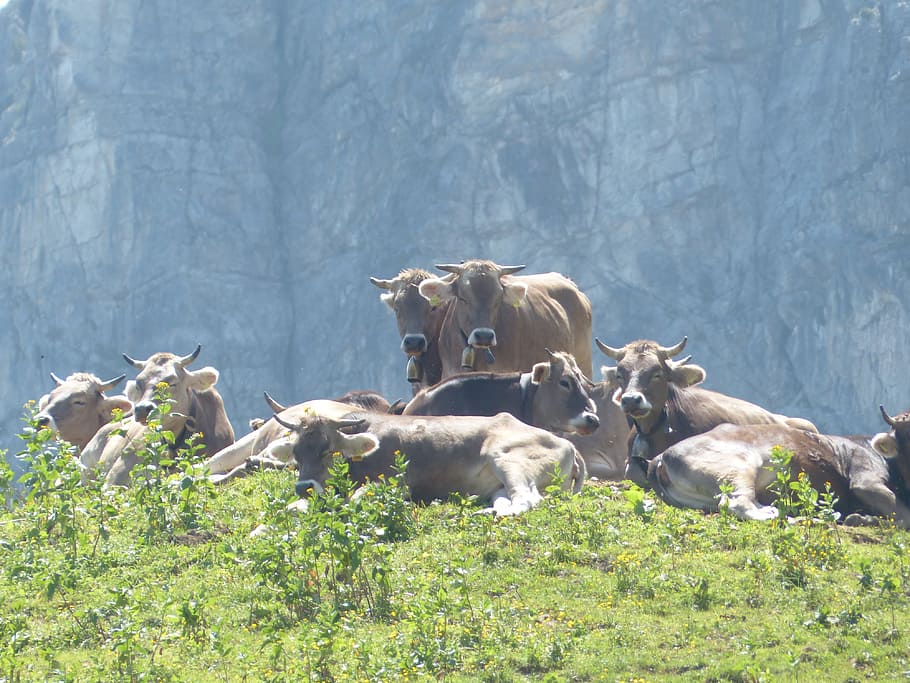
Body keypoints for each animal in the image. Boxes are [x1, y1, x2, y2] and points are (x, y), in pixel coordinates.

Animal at [274, 401, 586, 516]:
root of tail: (567, 443)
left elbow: (357, 498)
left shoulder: (395, 484)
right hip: (498, 485)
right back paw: (487, 510)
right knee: (506, 498)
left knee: (527, 498)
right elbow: (287, 509)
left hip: (508, 459)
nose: (304, 486)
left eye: (328, 450)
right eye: (296, 454)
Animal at [646, 407, 910, 527]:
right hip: (737, 465)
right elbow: (902, 514)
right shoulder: (866, 479)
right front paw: (863, 518)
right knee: (736, 504)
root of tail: (660, 457)